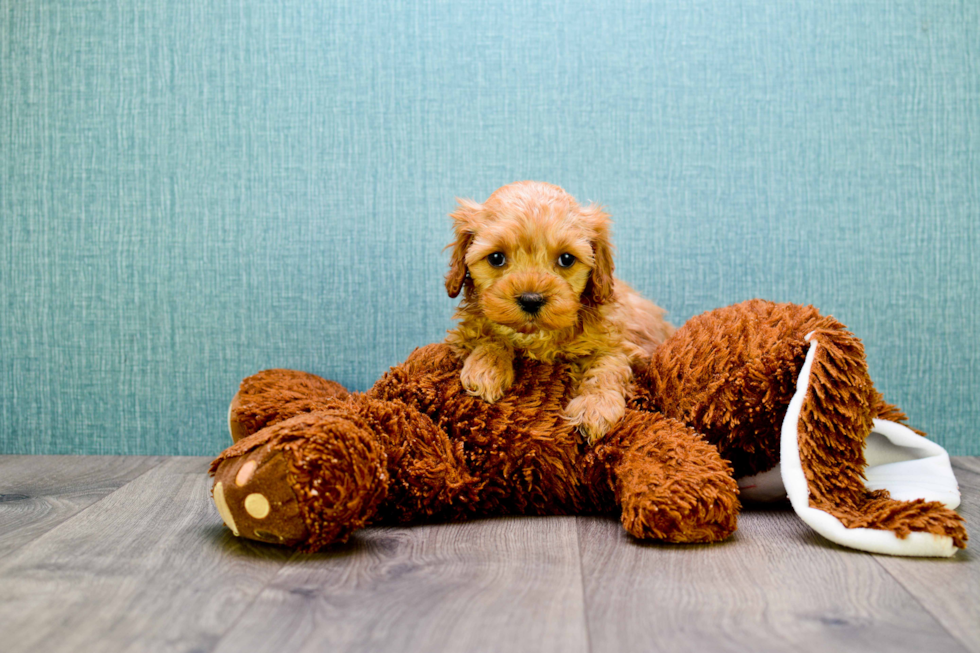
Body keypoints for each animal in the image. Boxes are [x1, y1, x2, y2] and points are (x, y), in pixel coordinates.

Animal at [444, 180, 672, 444]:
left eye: (566, 259)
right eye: (496, 258)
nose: (531, 299)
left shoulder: (621, 344)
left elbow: (607, 367)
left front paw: (595, 406)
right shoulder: (466, 333)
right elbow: (491, 336)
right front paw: (486, 369)